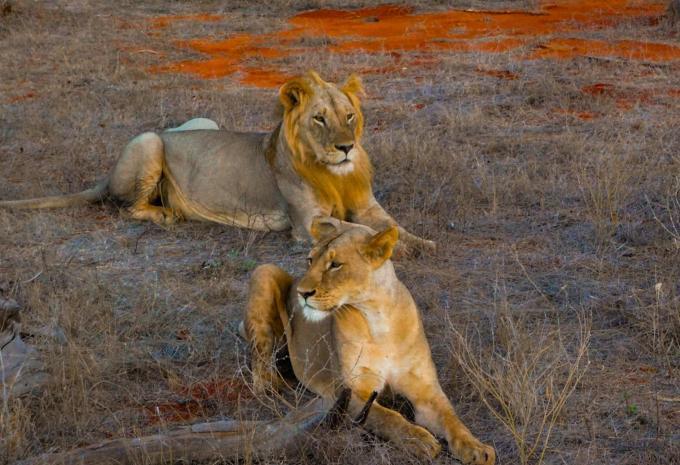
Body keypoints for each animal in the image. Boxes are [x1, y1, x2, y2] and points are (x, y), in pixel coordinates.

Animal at [0, 71, 434, 253]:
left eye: (349, 116)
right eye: (319, 119)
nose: (346, 148)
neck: (334, 172)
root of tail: (105, 176)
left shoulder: (367, 205)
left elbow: (390, 224)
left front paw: (423, 241)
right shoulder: (306, 224)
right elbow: (357, 230)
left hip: (204, 121)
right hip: (148, 142)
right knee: (128, 207)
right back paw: (168, 215)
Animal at [239, 216, 495, 464]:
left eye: (335, 264)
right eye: (309, 260)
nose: (302, 293)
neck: (378, 319)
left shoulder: (426, 391)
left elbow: (452, 418)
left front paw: (477, 449)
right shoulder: (349, 391)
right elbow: (389, 416)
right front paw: (419, 439)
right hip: (264, 270)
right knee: (260, 362)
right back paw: (273, 384)